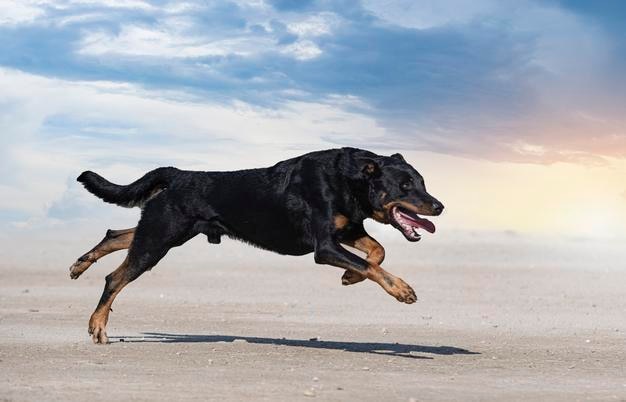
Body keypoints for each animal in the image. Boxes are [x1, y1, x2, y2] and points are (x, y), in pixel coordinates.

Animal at [70, 147, 442, 342]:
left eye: (423, 182)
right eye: (405, 186)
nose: (439, 206)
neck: (351, 181)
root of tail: (176, 173)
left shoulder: (346, 230)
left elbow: (377, 253)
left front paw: (351, 277)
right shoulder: (325, 246)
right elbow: (370, 262)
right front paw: (401, 289)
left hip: (168, 230)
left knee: (118, 234)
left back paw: (80, 264)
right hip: (160, 237)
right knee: (116, 277)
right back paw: (97, 325)